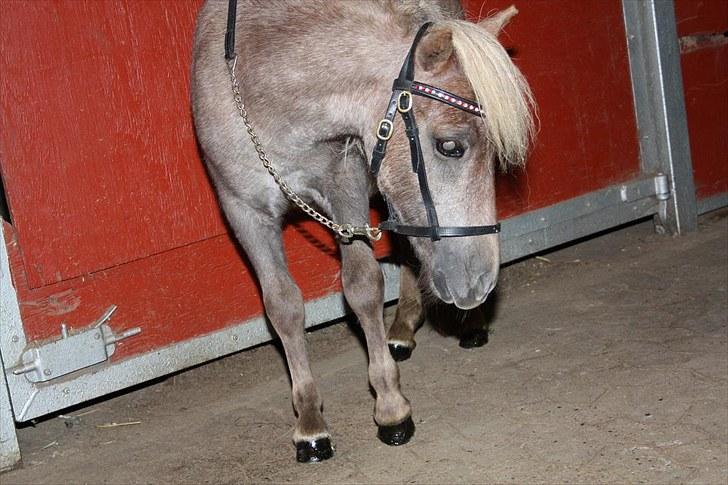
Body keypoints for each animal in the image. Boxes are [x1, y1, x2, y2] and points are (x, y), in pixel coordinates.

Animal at [191, 0, 534, 462]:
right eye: (450, 145)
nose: (481, 280)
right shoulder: (244, 212)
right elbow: (282, 306)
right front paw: (310, 424)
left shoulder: (345, 186)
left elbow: (363, 287)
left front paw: (390, 407)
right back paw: (402, 329)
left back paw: (461, 325)